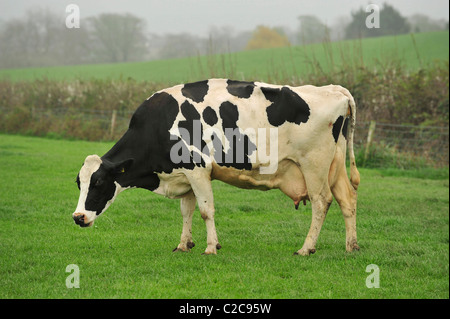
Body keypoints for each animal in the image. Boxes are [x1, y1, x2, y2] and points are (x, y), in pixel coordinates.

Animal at [74, 79, 362, 256]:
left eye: (98, 182)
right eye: (79, 183)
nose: (78, 217)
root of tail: (334, 89)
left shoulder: (198, 169)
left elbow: (205, 210)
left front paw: (211, 246)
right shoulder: (185, 175)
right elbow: (187, 211)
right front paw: (184, 244)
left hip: (314, 164)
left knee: (321, 201)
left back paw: (306, 248)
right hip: (335, 164)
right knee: (347, 199)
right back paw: (351, 246)